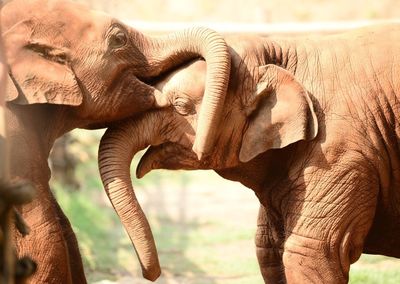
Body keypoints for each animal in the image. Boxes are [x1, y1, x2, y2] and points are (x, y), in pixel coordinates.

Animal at [97, 25, 400, 284]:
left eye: (181, 106)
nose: (152, 272)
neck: (283, 52)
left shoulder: (340, 155)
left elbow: (311, 253)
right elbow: (268, 250)